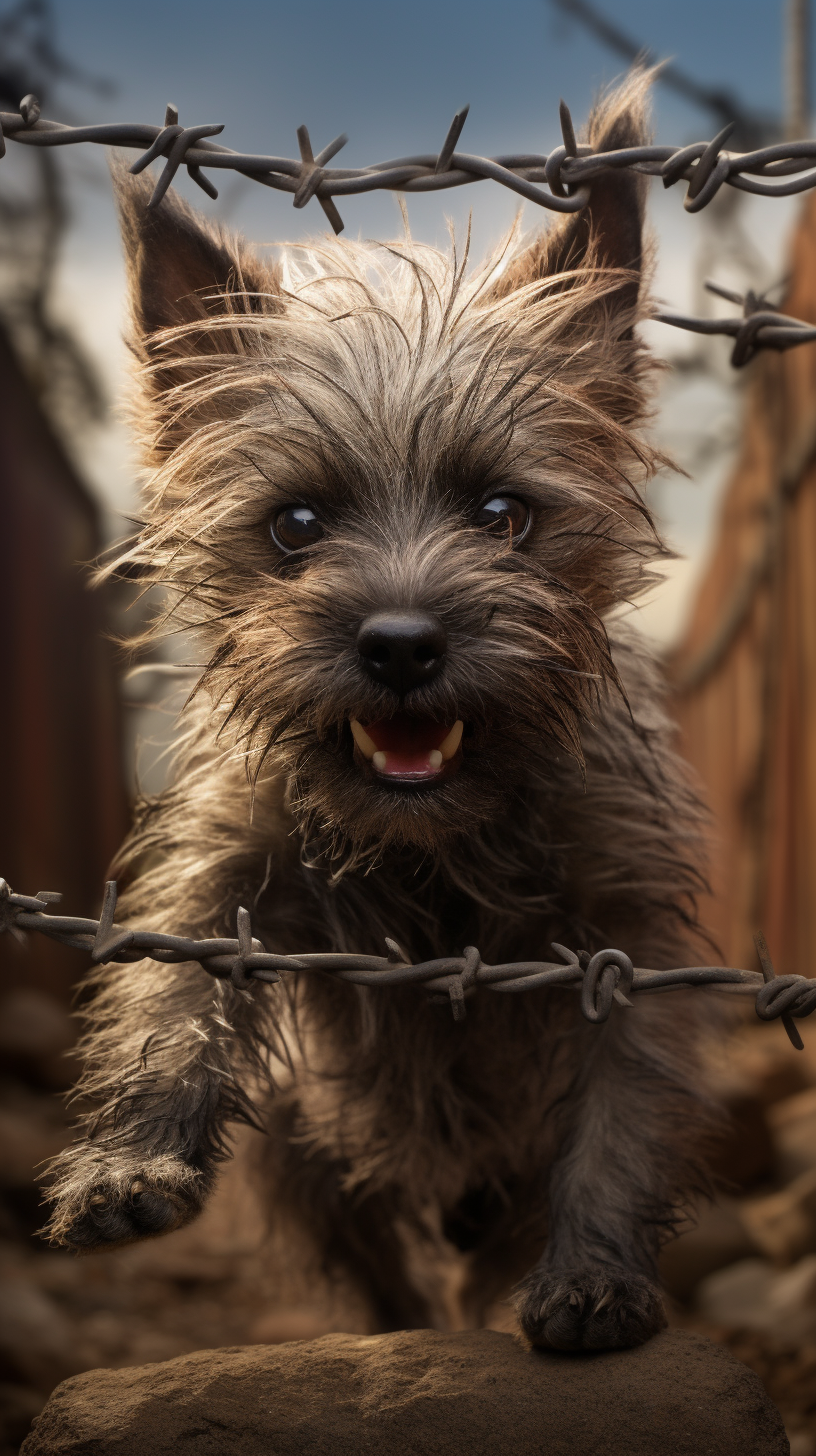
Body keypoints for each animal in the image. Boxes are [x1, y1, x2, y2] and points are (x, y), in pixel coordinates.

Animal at [44, 73, 711, 1351]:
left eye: (504, 513)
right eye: (296, 525)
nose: (401, 645)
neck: (431, 844)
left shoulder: (625, 931)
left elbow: (620, 1103)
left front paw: (594, 1273)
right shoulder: (232, 850)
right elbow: (173, 977)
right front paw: (127, 1158)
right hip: (303, 1166)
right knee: (374, 1268)